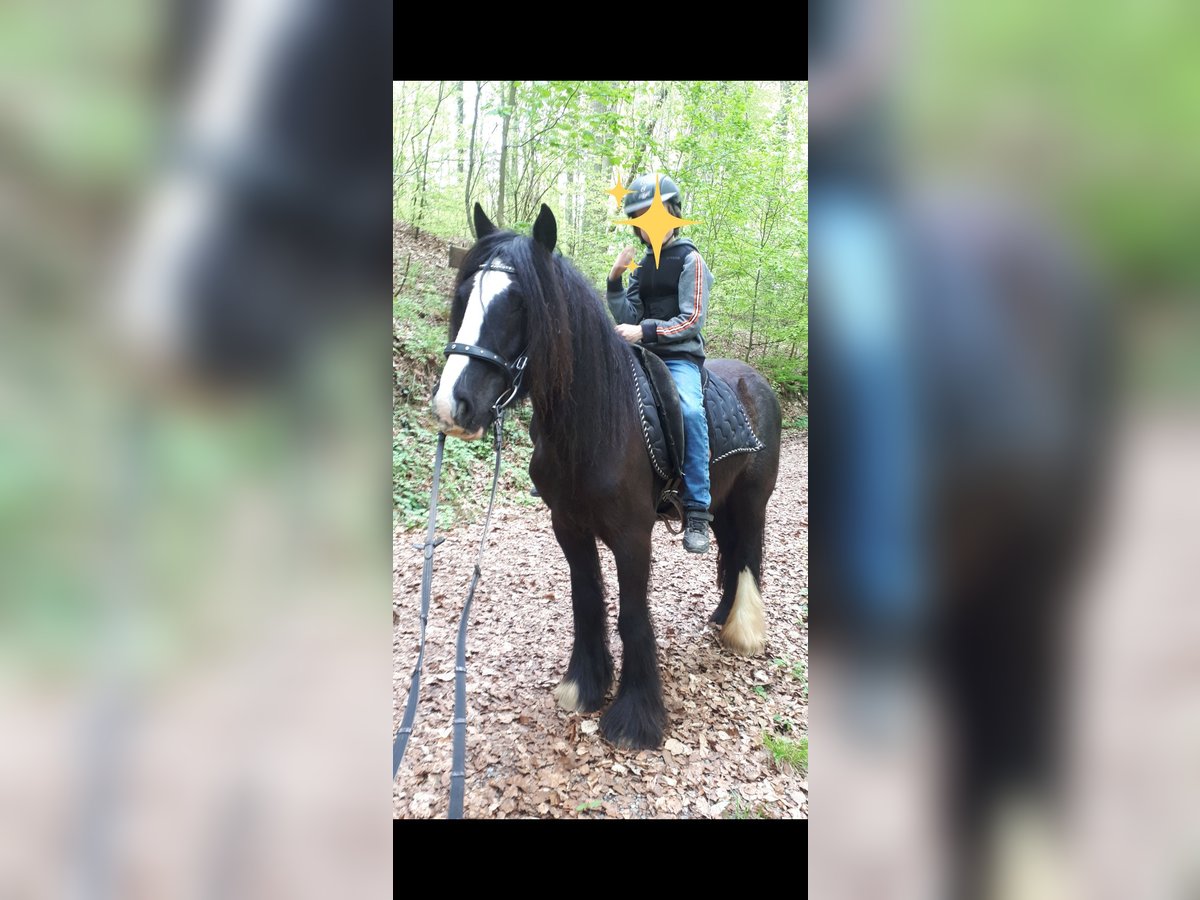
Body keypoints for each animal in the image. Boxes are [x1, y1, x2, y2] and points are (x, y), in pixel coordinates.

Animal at [431, 203, 783, 750]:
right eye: (465, 296)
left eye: (519, 304)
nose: (452, 406)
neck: (596, 423)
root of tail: (757, 381)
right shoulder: (569, 527)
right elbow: (588, 602)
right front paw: (584, 685)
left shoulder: (632, 534)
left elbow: (633, 615)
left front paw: (635, 718)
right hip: (724, 501)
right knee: (731, 552)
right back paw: (722, 617)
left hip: (751, 500)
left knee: (746, 555)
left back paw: (742, 632)